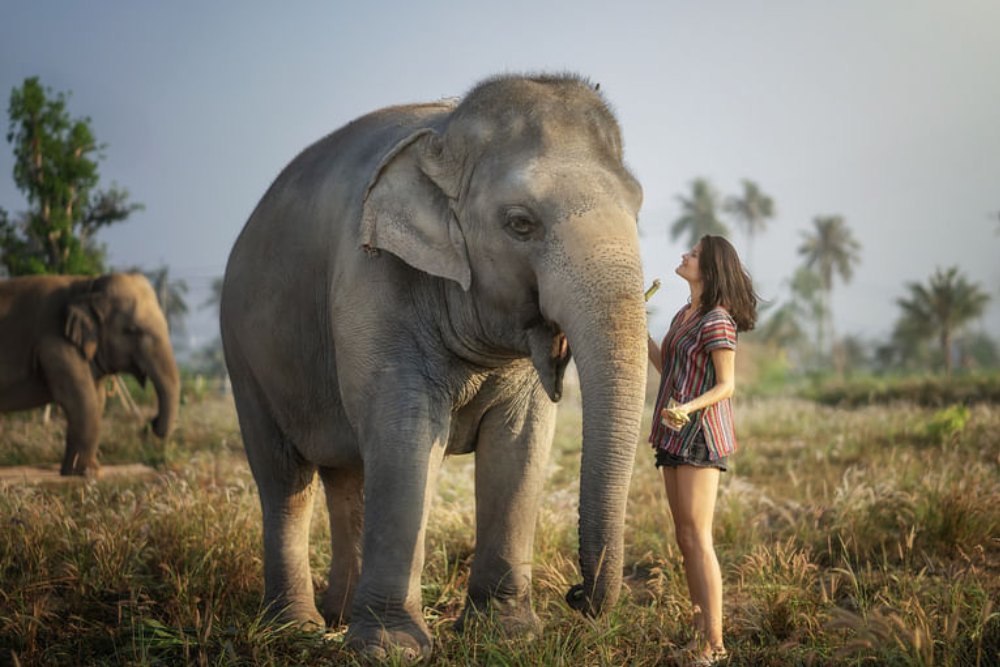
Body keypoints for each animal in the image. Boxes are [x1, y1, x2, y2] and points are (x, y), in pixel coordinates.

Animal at [0, 272, 180, 476]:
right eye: (132, 330)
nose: (152, 422)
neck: (87, 285)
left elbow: (98, 398)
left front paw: (80, 471)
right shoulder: (56, 345)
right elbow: (81, 398)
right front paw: (86, 472)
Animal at [220, 73, 647, 659]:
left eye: (639, 209)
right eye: (520, 224)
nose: (577, 596)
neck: (444, 136)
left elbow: (520, 443)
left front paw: (507, 635)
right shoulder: (372, 282)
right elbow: (407, 434)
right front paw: (390, 650)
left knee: (349, 475)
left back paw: (338, 616)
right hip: (245, 357)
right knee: (285, 479)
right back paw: (297, 629)